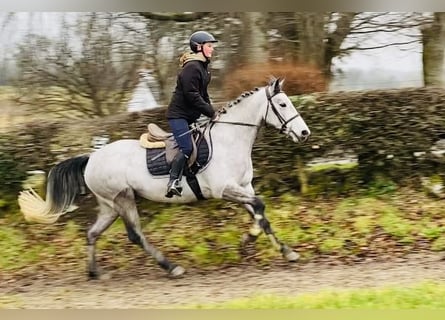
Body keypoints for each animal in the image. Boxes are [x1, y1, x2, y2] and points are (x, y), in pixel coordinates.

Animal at [19, 77, 310, 278]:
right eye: (282, 104)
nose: (304, 133)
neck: (230, 138)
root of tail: (91, 158)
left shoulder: (243, 187)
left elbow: (260, 214)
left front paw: (282, 250)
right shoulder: (224, 189)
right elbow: (260, 206)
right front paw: (250, 242)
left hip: (109, 205)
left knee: (92, 233)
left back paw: (95, 273)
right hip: (123, 198)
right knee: (135, 235)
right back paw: (171, 267)